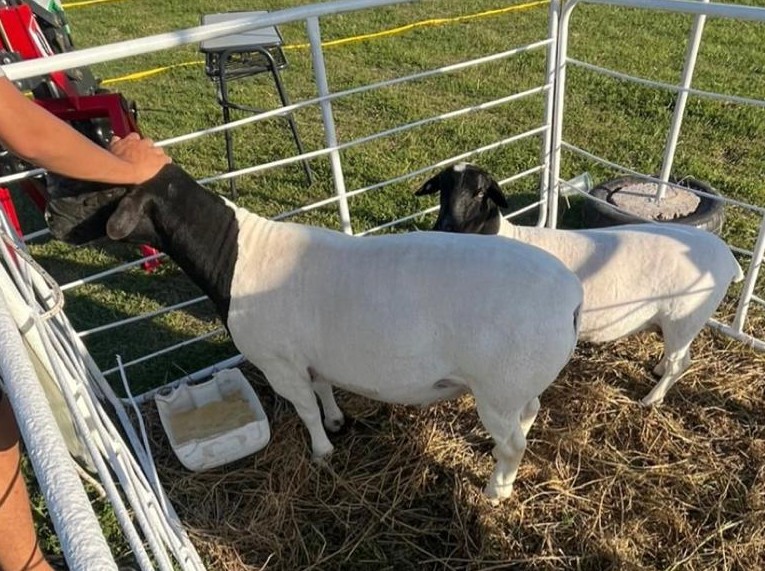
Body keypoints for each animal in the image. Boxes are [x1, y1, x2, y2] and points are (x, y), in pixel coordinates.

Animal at [45, 164, 584, 500]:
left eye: (102, 188)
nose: (51, 215)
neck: (236, 254)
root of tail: (571, 295)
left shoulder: (276, 362)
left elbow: (302, 406)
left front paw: (322, 453)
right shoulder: (308, 354)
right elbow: (322, 389)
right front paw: (336, 422)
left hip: (497, 386)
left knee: (513, 445)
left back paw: (496, 491)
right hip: (517, 384)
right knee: (529, 415)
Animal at [416, 163, 744, 406]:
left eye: (480, 191)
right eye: (442, 188)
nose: (444, 227)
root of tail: (727, 256)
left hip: (685, 317)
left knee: (681, 362)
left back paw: (651, 399)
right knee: (677, 358)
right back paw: (658, 370)